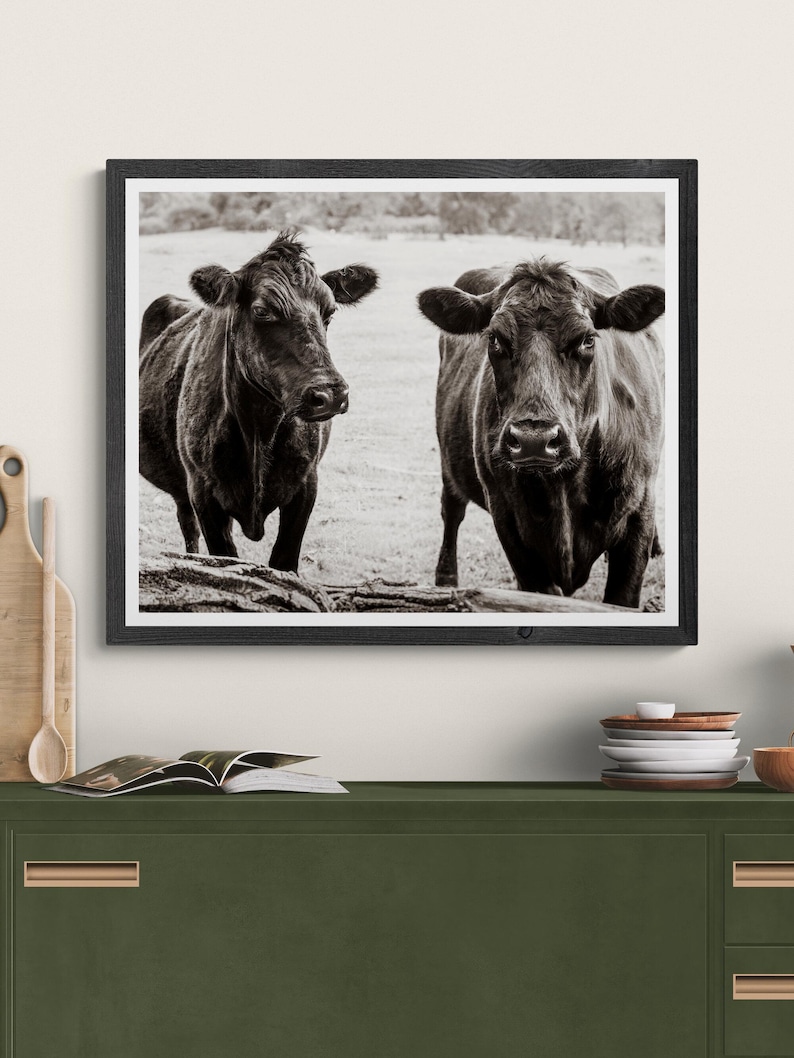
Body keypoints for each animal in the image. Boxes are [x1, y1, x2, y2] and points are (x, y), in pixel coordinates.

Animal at [139, 231, 378, 569]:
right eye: (262, 311)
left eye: (329, 312)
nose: (330, 395)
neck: (259, 430)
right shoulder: (202, 491)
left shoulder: (306, 485)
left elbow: (284, 561)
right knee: (188, 526)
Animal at [417, 258, 665, 609]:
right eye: (494, 340)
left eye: (587, 340)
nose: (533, 440)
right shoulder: (509, 521)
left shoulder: (639, 513)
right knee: (451, 512)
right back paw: (445, 582)